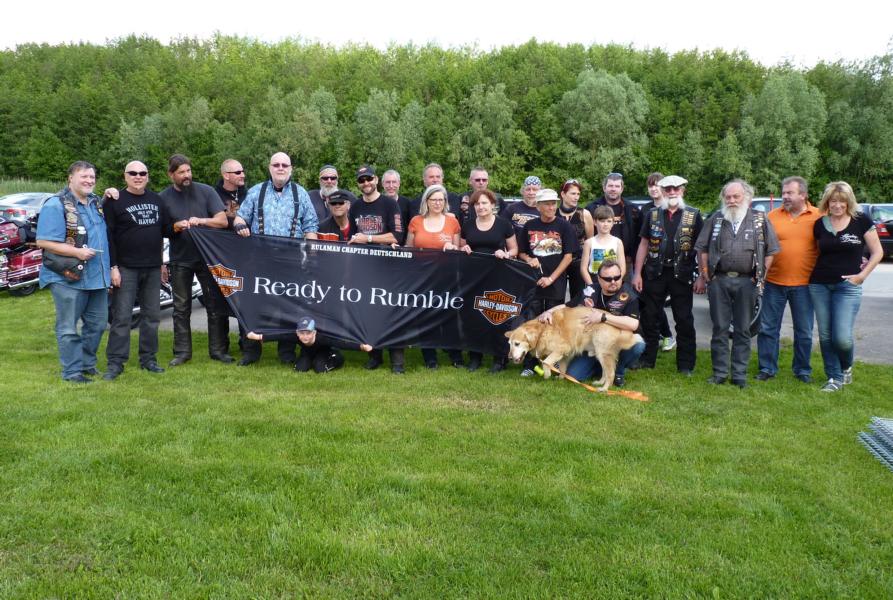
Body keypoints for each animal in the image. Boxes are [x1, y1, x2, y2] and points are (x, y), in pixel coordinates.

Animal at [505, 306, 643, 391]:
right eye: (509, 344)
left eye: (517, 344)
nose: (509, 358)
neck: (542, 330)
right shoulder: (565, 354)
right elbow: (563, 369)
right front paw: (560, 379)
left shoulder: (561, 349)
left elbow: (546, 362)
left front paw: (547, 374)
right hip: (601, 354)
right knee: (605, 371)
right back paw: (600, 383)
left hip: (603, 352)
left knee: (610, 373)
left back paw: (604, 389)